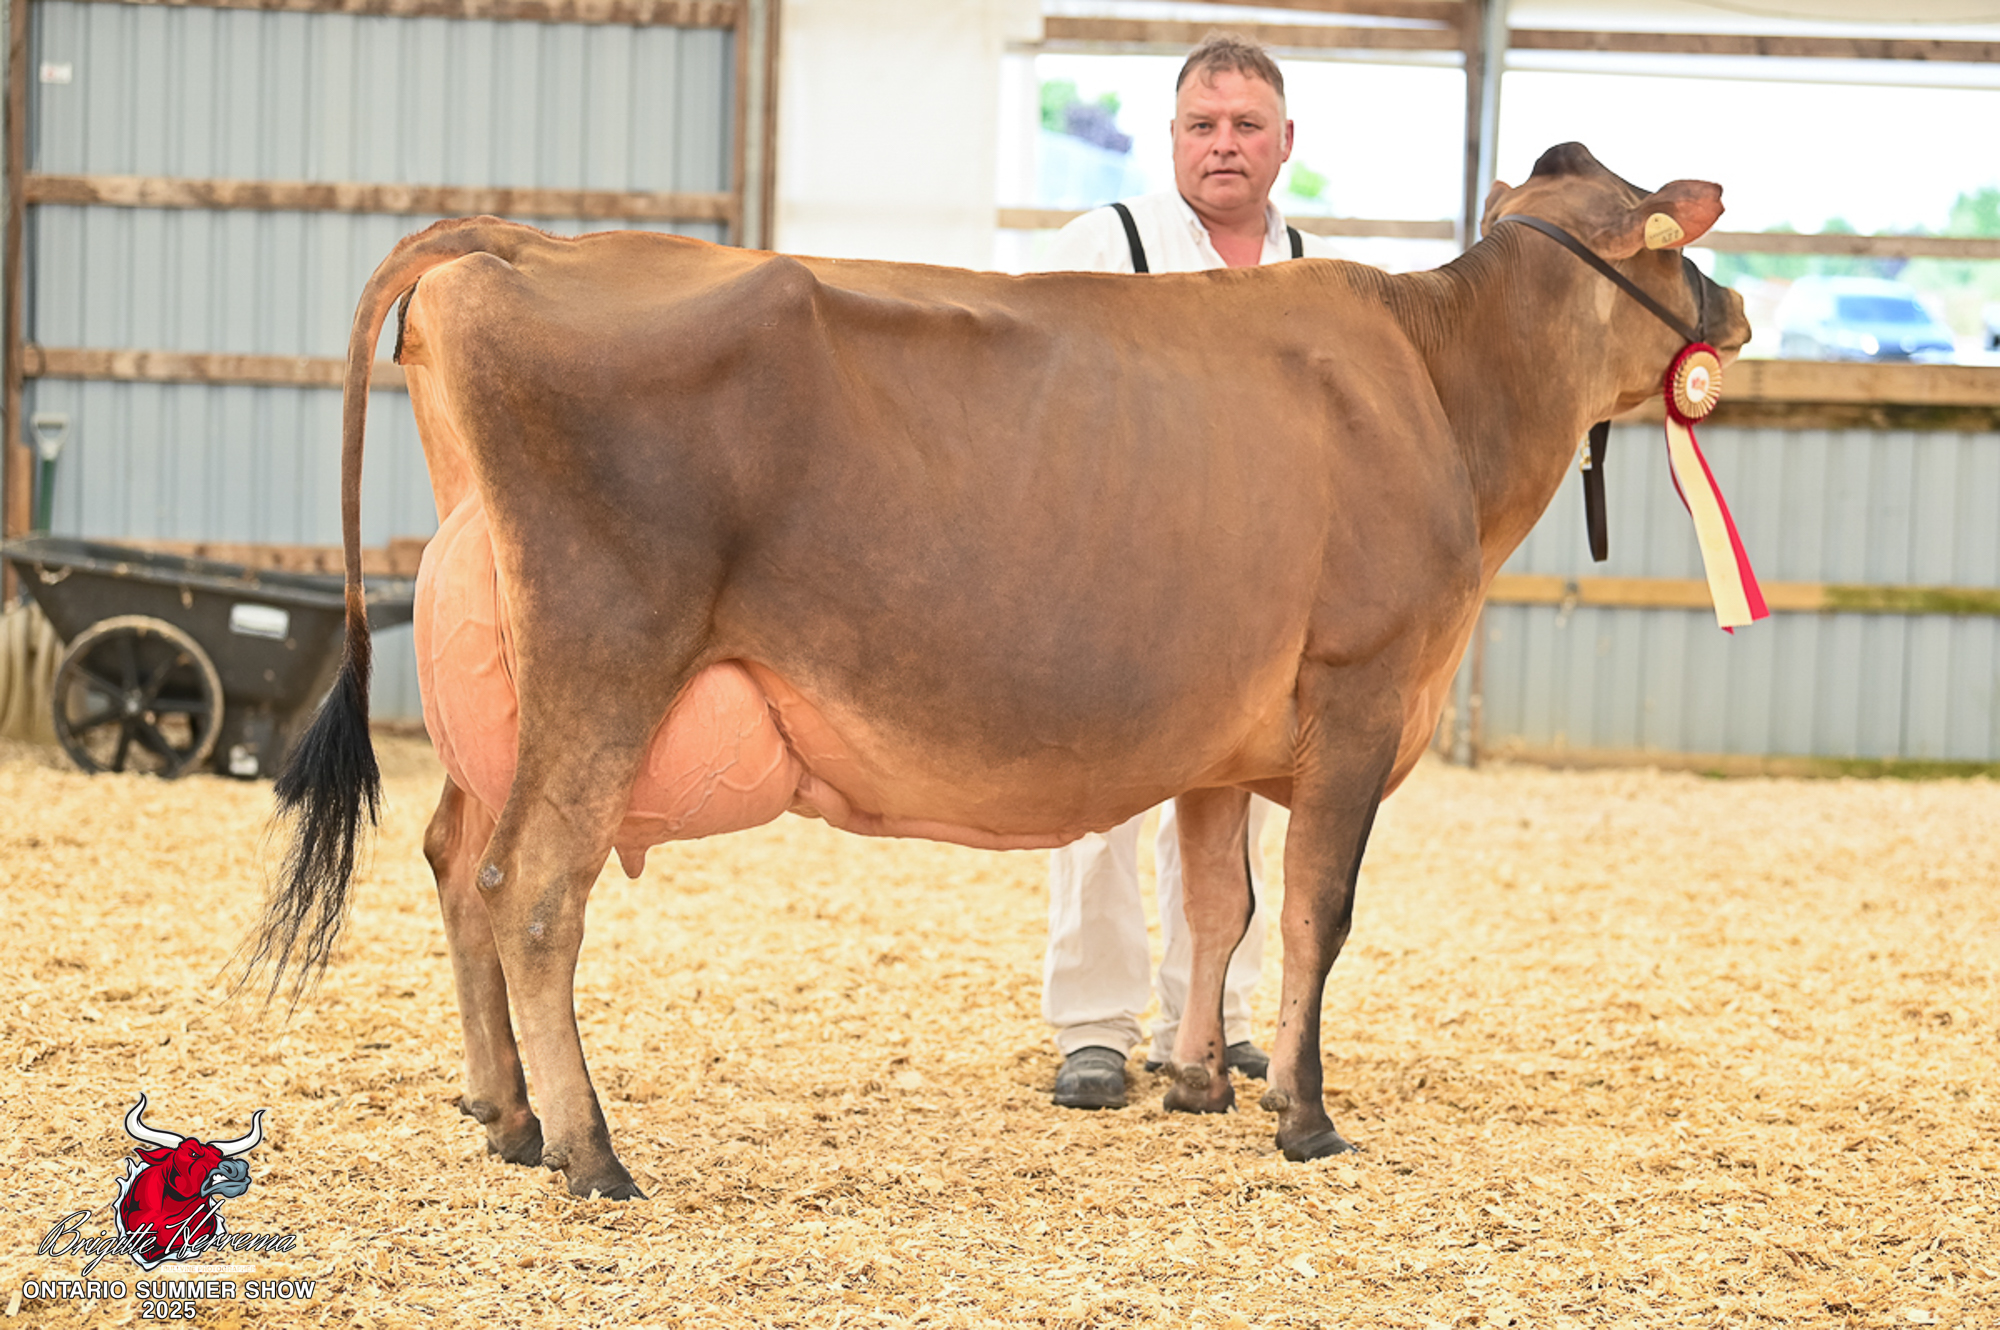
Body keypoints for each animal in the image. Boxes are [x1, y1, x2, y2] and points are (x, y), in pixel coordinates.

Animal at [254, 143, 1750, 1200]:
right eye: (1678, 237)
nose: (1733, 310)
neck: (1444, 387)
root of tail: (511, 237)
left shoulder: (1224, 741)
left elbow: (1218, 907)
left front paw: (1198, 1081)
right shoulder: (1364, 689)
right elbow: (1313, 915)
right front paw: (1305, 1116)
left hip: (502, 687)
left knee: (454, 855)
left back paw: (502, 1114)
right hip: (607, 653)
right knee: (531, 888)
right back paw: (590, 1152)